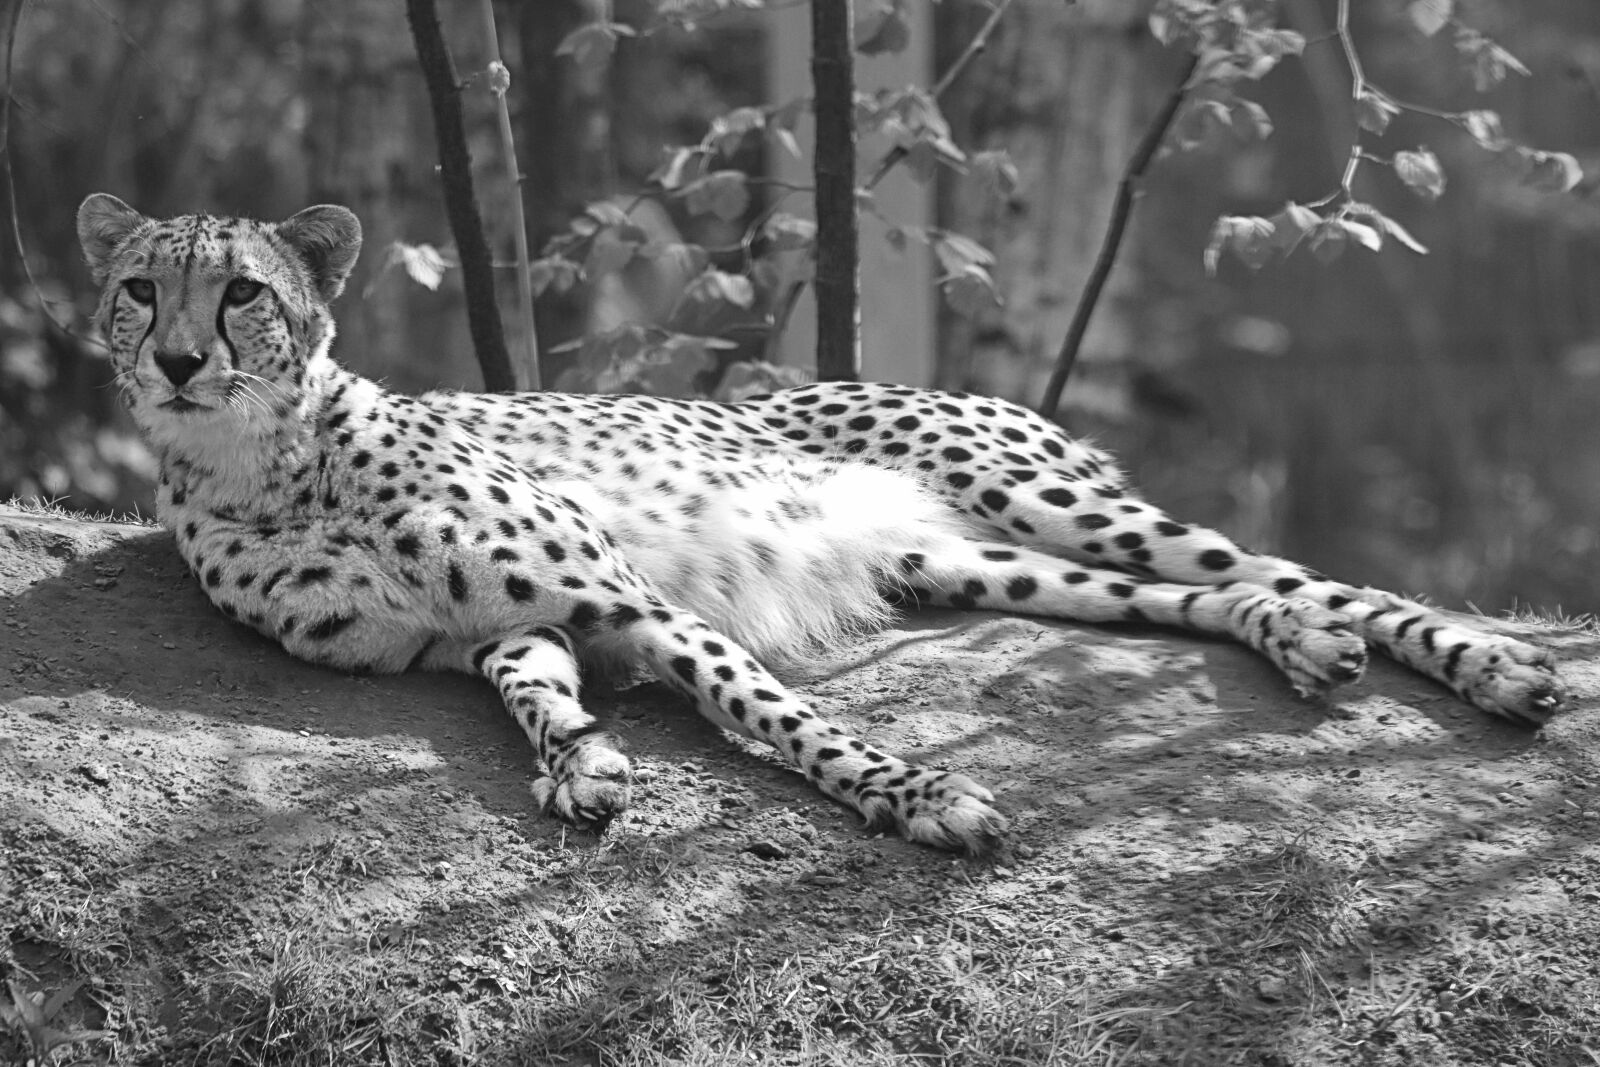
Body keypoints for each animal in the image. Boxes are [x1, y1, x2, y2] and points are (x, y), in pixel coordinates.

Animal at [75, 193, 1569, 855]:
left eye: (244, 293)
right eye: (143, 289)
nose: (181, 362)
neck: (263, 464)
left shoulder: (627, 597)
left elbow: (775, 710)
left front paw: (921, 795)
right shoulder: (506, 626)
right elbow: (531, 688)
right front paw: (581, 765)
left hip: (1048, 497)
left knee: (1288, 568)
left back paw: (1492, 665)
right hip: (972, 559)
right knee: (1215, 596)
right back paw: (1300, 645)